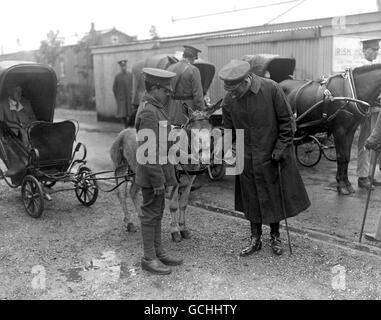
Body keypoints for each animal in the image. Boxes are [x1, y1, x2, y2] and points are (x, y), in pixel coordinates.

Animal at [280, 64, 380, 195]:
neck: (350, 90)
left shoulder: (350, 131)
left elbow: (347, 157)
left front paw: (347, 183)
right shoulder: (339, 131)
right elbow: (340, 157)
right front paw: (340, 185)